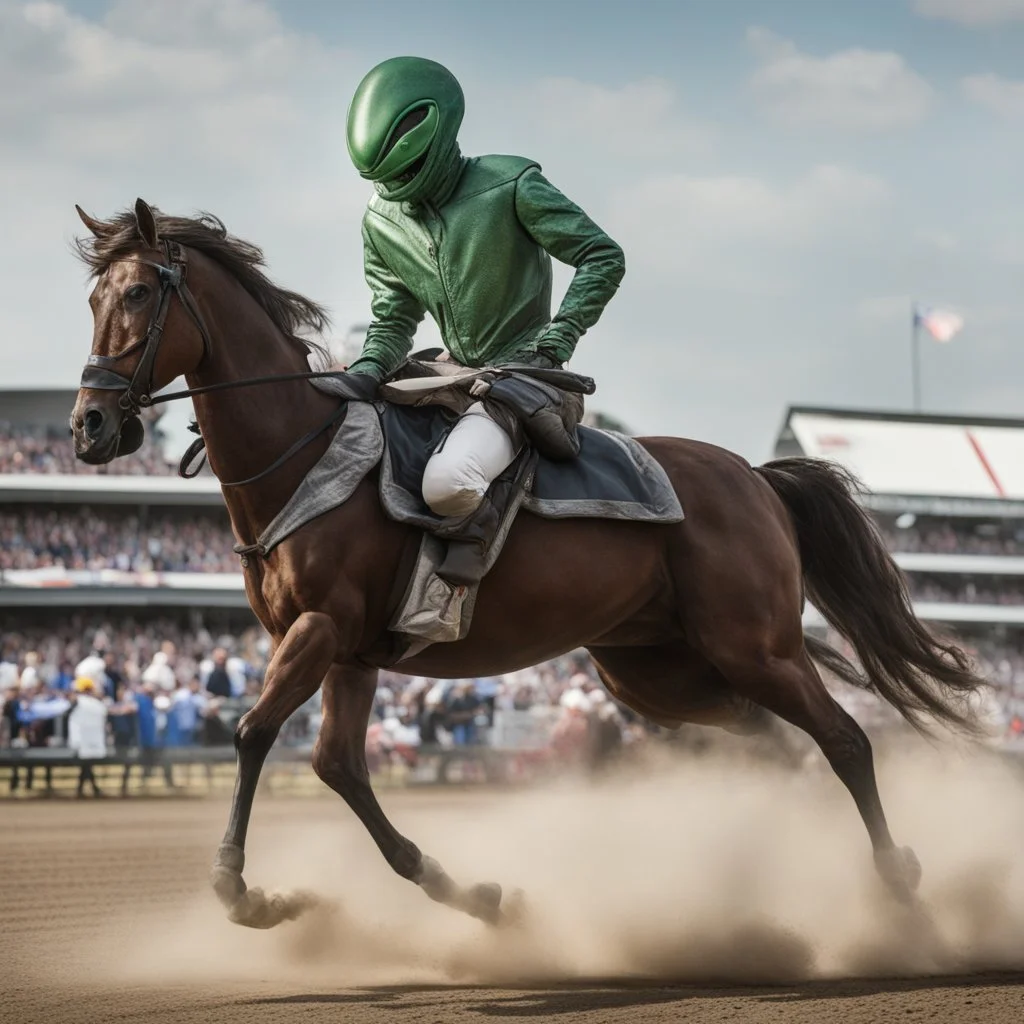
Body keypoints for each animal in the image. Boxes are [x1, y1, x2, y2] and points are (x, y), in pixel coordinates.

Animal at [68, 197, 978, 929]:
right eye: (92, 299)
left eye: (140, 293)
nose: (89, 426)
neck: (305, 453)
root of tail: (754, 476)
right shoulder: (347, 652)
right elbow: (338, 767)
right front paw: (471, 895)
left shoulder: (321, 630)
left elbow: (253, 732)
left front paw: (240, 889)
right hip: (653, 672)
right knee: (771, 744)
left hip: (754, 647)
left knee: (845, 740)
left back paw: (898, 882)